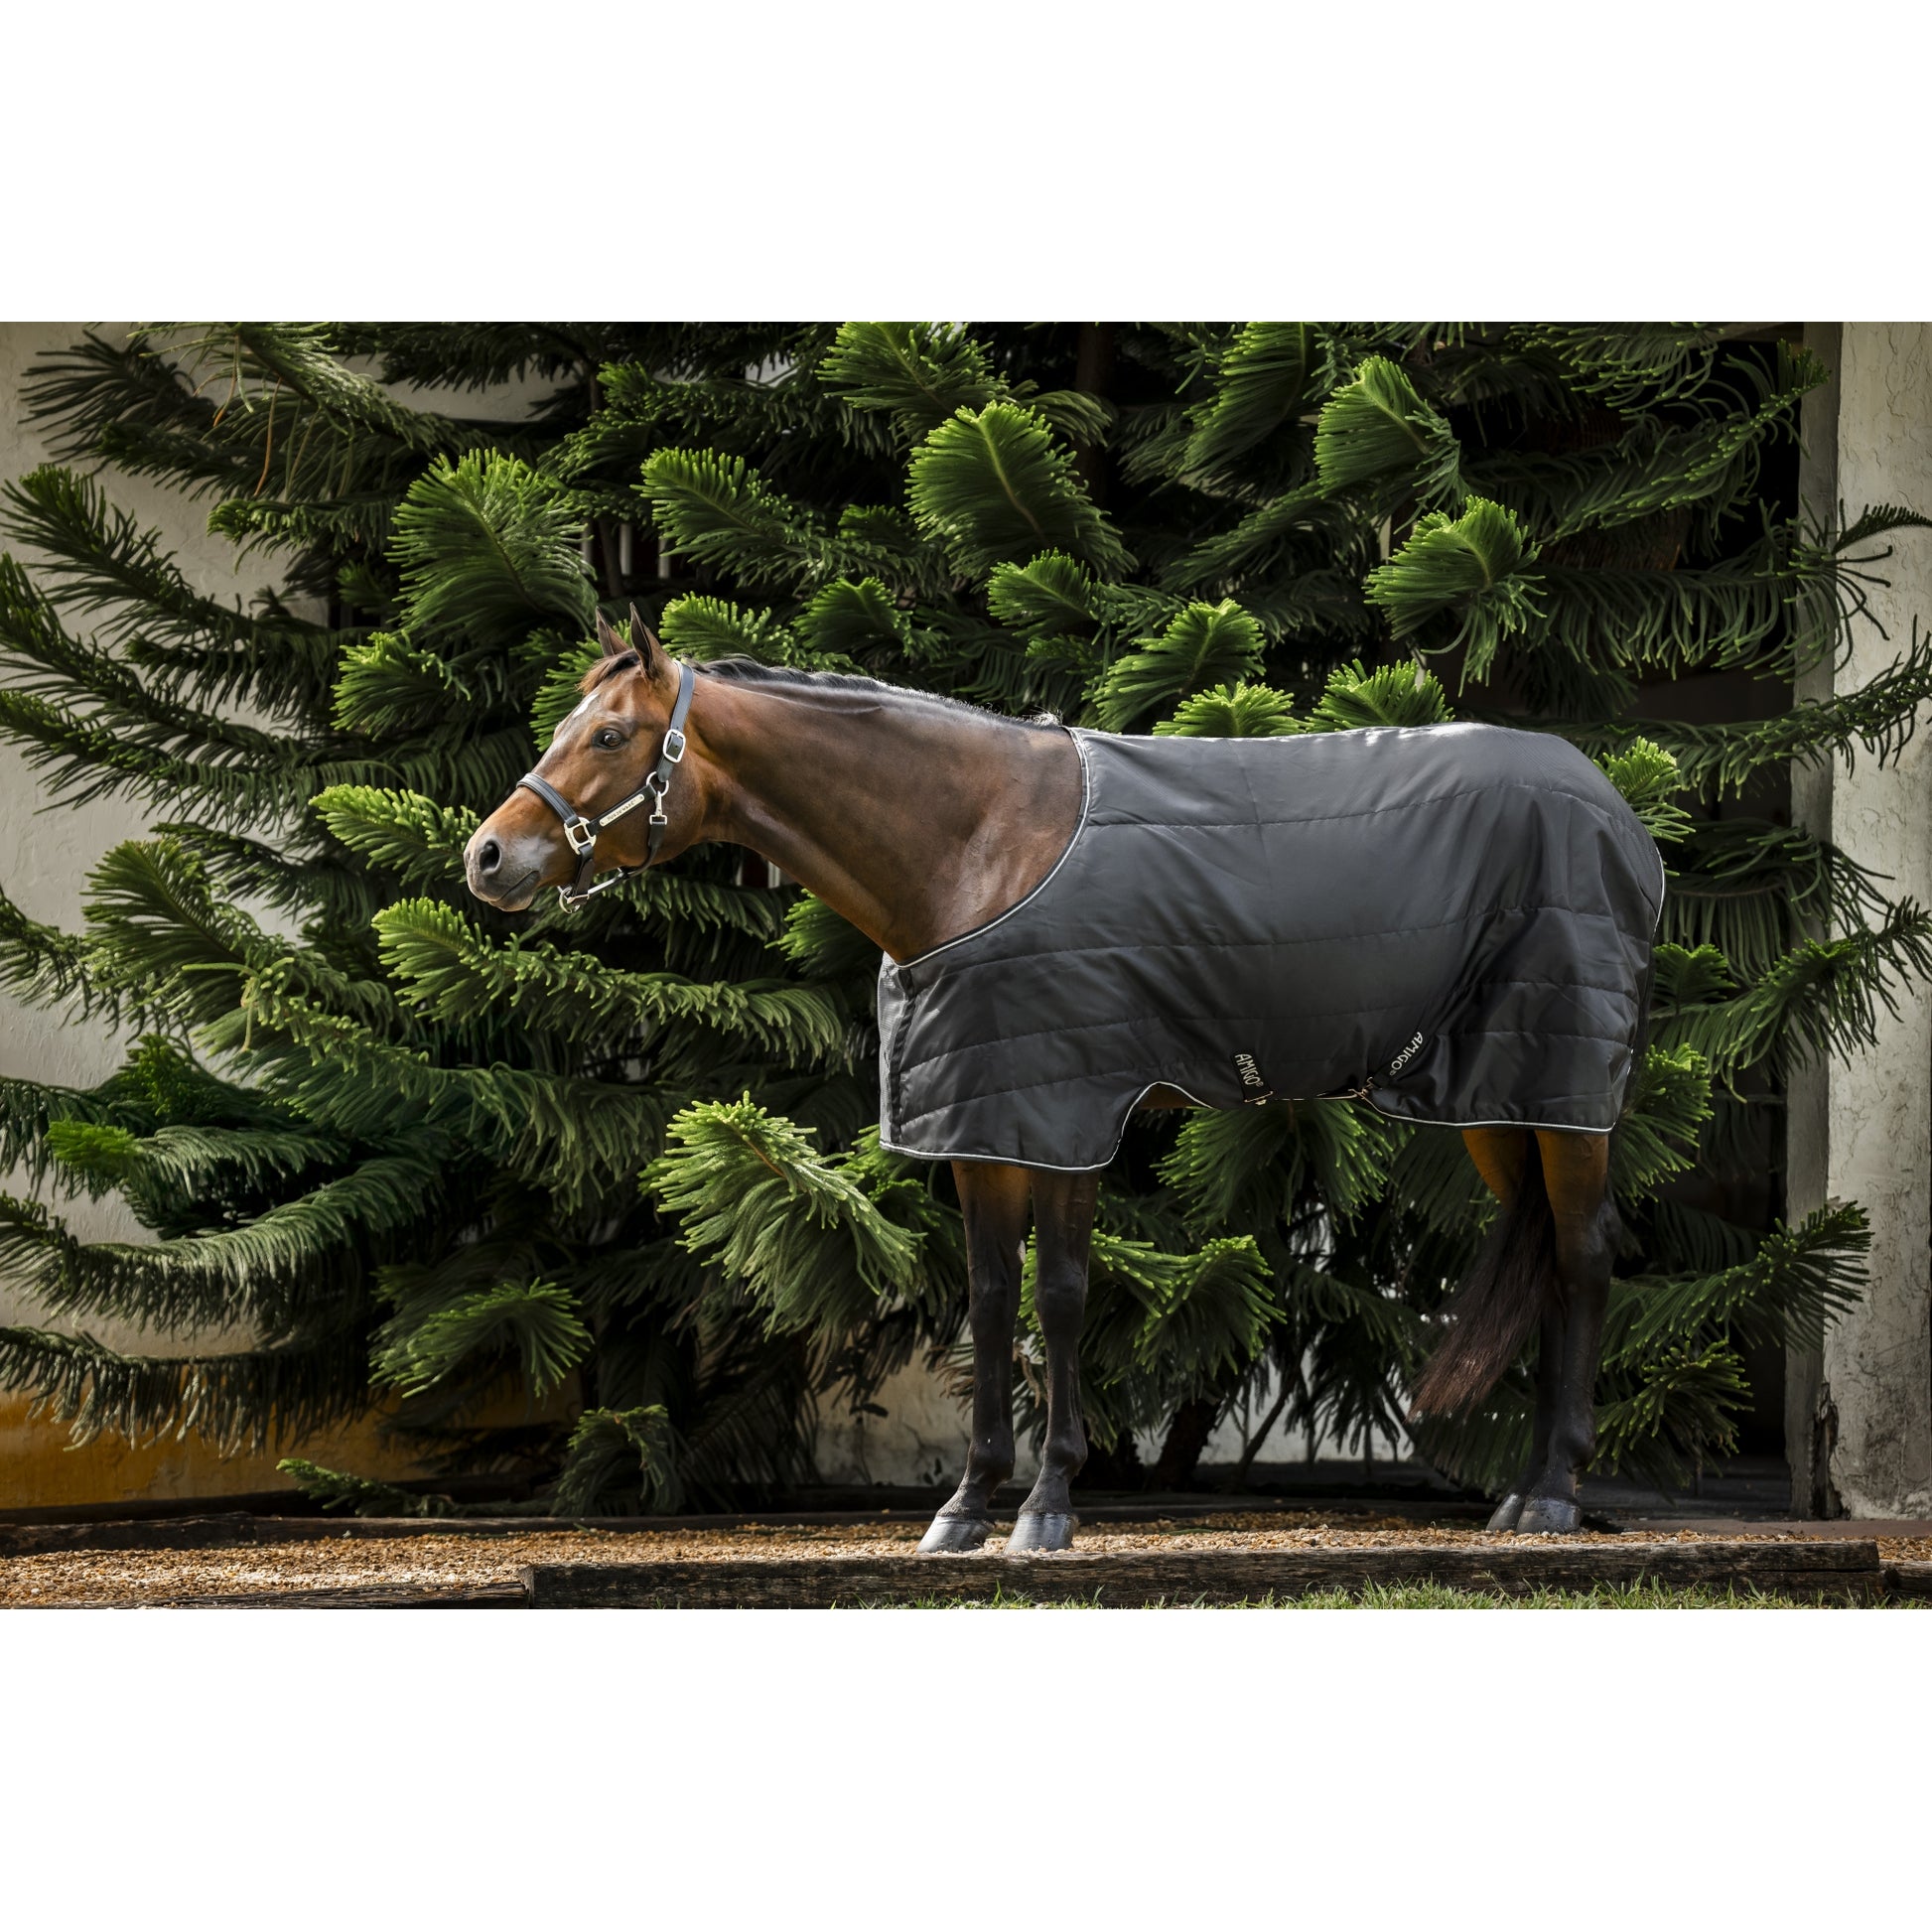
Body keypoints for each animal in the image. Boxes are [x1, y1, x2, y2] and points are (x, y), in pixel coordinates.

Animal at [465, 613, 1660, 1549]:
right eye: (565, 727)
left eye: (610, 734)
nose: (487, 857)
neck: (977, 846)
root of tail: (1617, 812)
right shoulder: (985, 1121)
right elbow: (992, 1300)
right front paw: (965, 1504)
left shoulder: (1070, 1109)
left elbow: (1062, 1295)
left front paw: (1046, 1506)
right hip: (1500, 1099)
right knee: (1547, 1251)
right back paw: (1524, 1491)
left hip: (1563, 1090)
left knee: (1586, 1252)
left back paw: (1552, 1494)